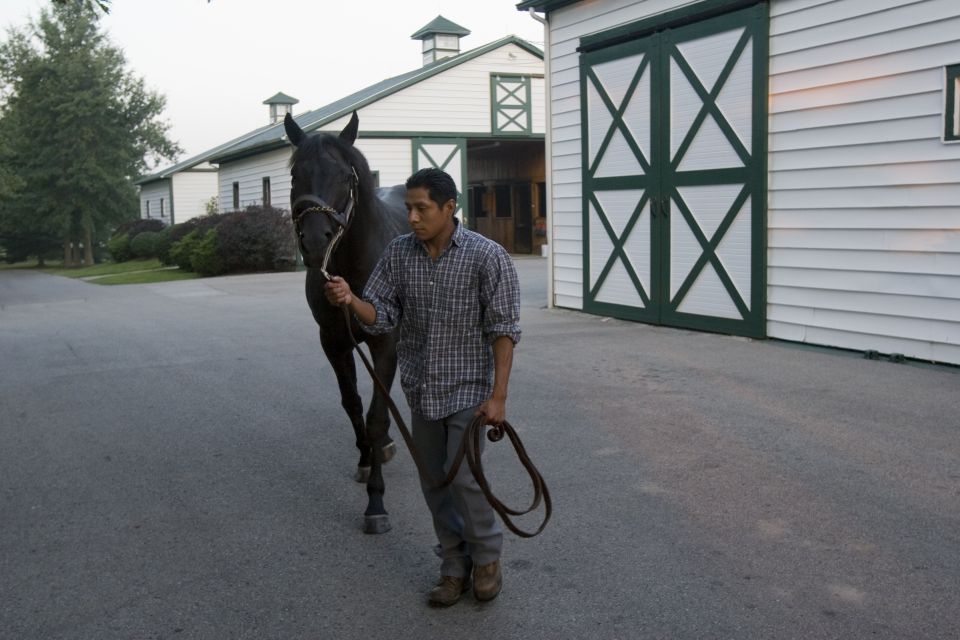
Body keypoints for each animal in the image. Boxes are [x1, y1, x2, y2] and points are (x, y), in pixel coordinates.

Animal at [284, 111, 406, 536]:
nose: (315, 241)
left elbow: (375, 415)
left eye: (343, 176)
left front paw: (376, 503)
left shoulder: (384, 341)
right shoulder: (334, 340)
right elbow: (352, 404)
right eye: (295, 175)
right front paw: (367, 459)